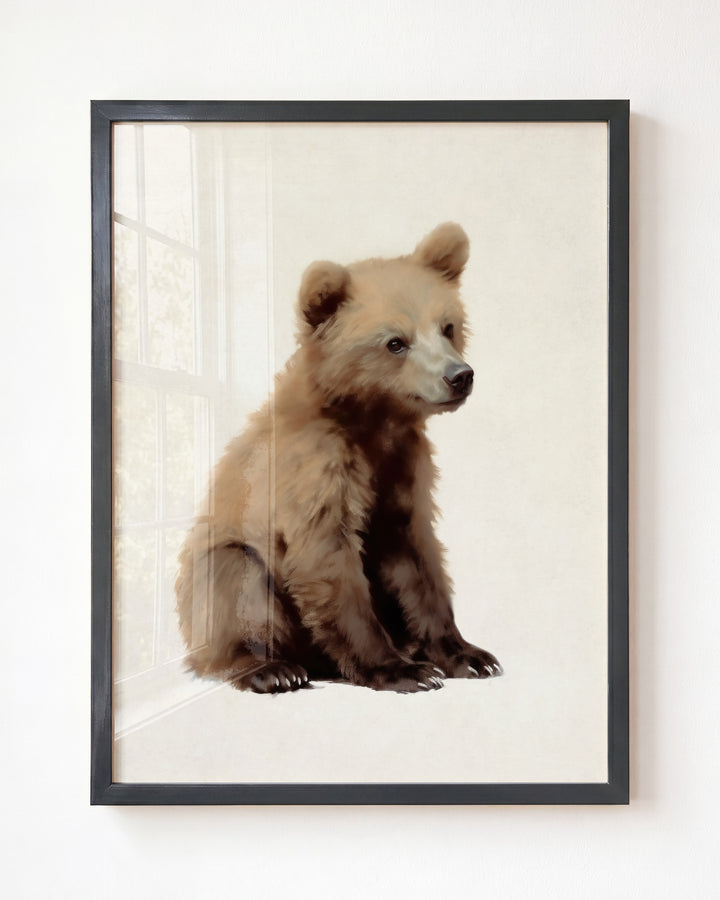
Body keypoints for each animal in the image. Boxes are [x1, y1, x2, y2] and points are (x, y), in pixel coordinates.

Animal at [175, 222, 501, 693]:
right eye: (395, 342)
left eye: (447, 326)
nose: (459, 376)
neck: (373, 421)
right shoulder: (314, 468)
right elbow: (328, 558)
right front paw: (401, 670)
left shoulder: (402, 469)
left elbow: (417, 558)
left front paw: (467, 655)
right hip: (223, 568)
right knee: (234, 581)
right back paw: (272, 669)